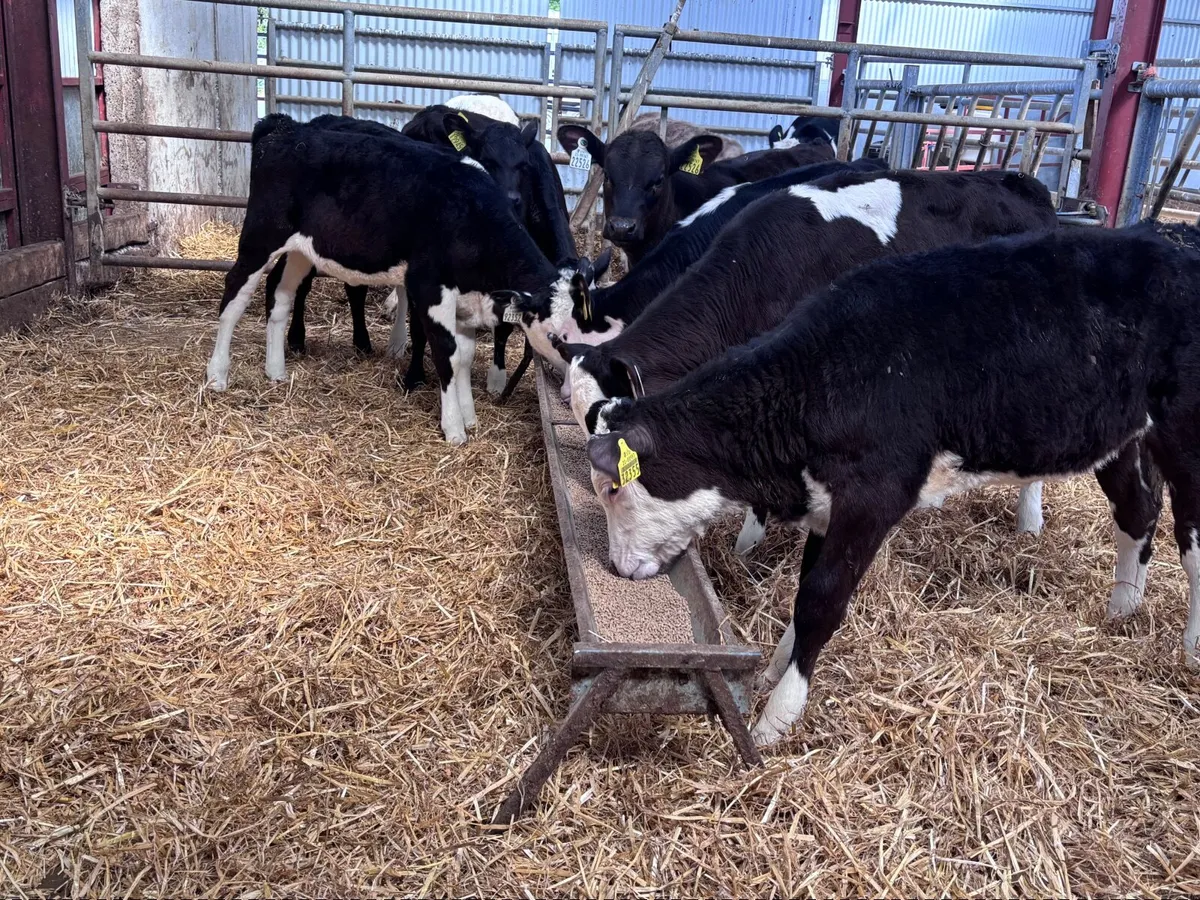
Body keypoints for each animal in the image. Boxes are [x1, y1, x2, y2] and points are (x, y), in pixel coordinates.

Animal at [581, 221, 1200, 747]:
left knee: (1191, 543)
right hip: (1119, 436)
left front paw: (777, 717)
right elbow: (805, 591)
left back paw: (1191, 651)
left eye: (613, 489)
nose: (616, 568)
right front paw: (778, 667)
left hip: (1186, 436)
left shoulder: (874, 497)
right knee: (1138, 510)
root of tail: (1173, 237)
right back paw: (1122, 610)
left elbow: (822, 600)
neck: (822, 378)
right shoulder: (828, 505)